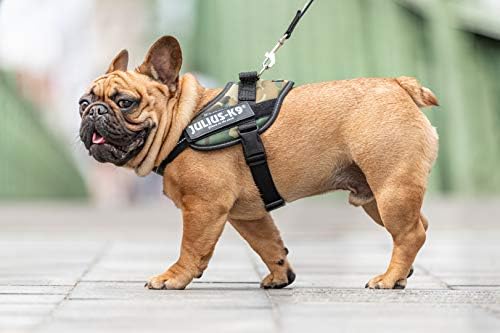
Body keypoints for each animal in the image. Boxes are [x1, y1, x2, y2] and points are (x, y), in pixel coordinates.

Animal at [78, 35, 438, 288]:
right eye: (83, 102)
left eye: (126, 102)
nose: (94, 111)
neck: (183, 123)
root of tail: (398, 85)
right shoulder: (247, 215)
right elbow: (268, 244)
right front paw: (281, 277)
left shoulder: (204, 206)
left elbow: (191, 247)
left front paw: (173, 277)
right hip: (374, 197)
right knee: (419, 225)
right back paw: (401, 274)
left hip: (390, 189)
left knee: (409, 234)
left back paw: (388, 279)